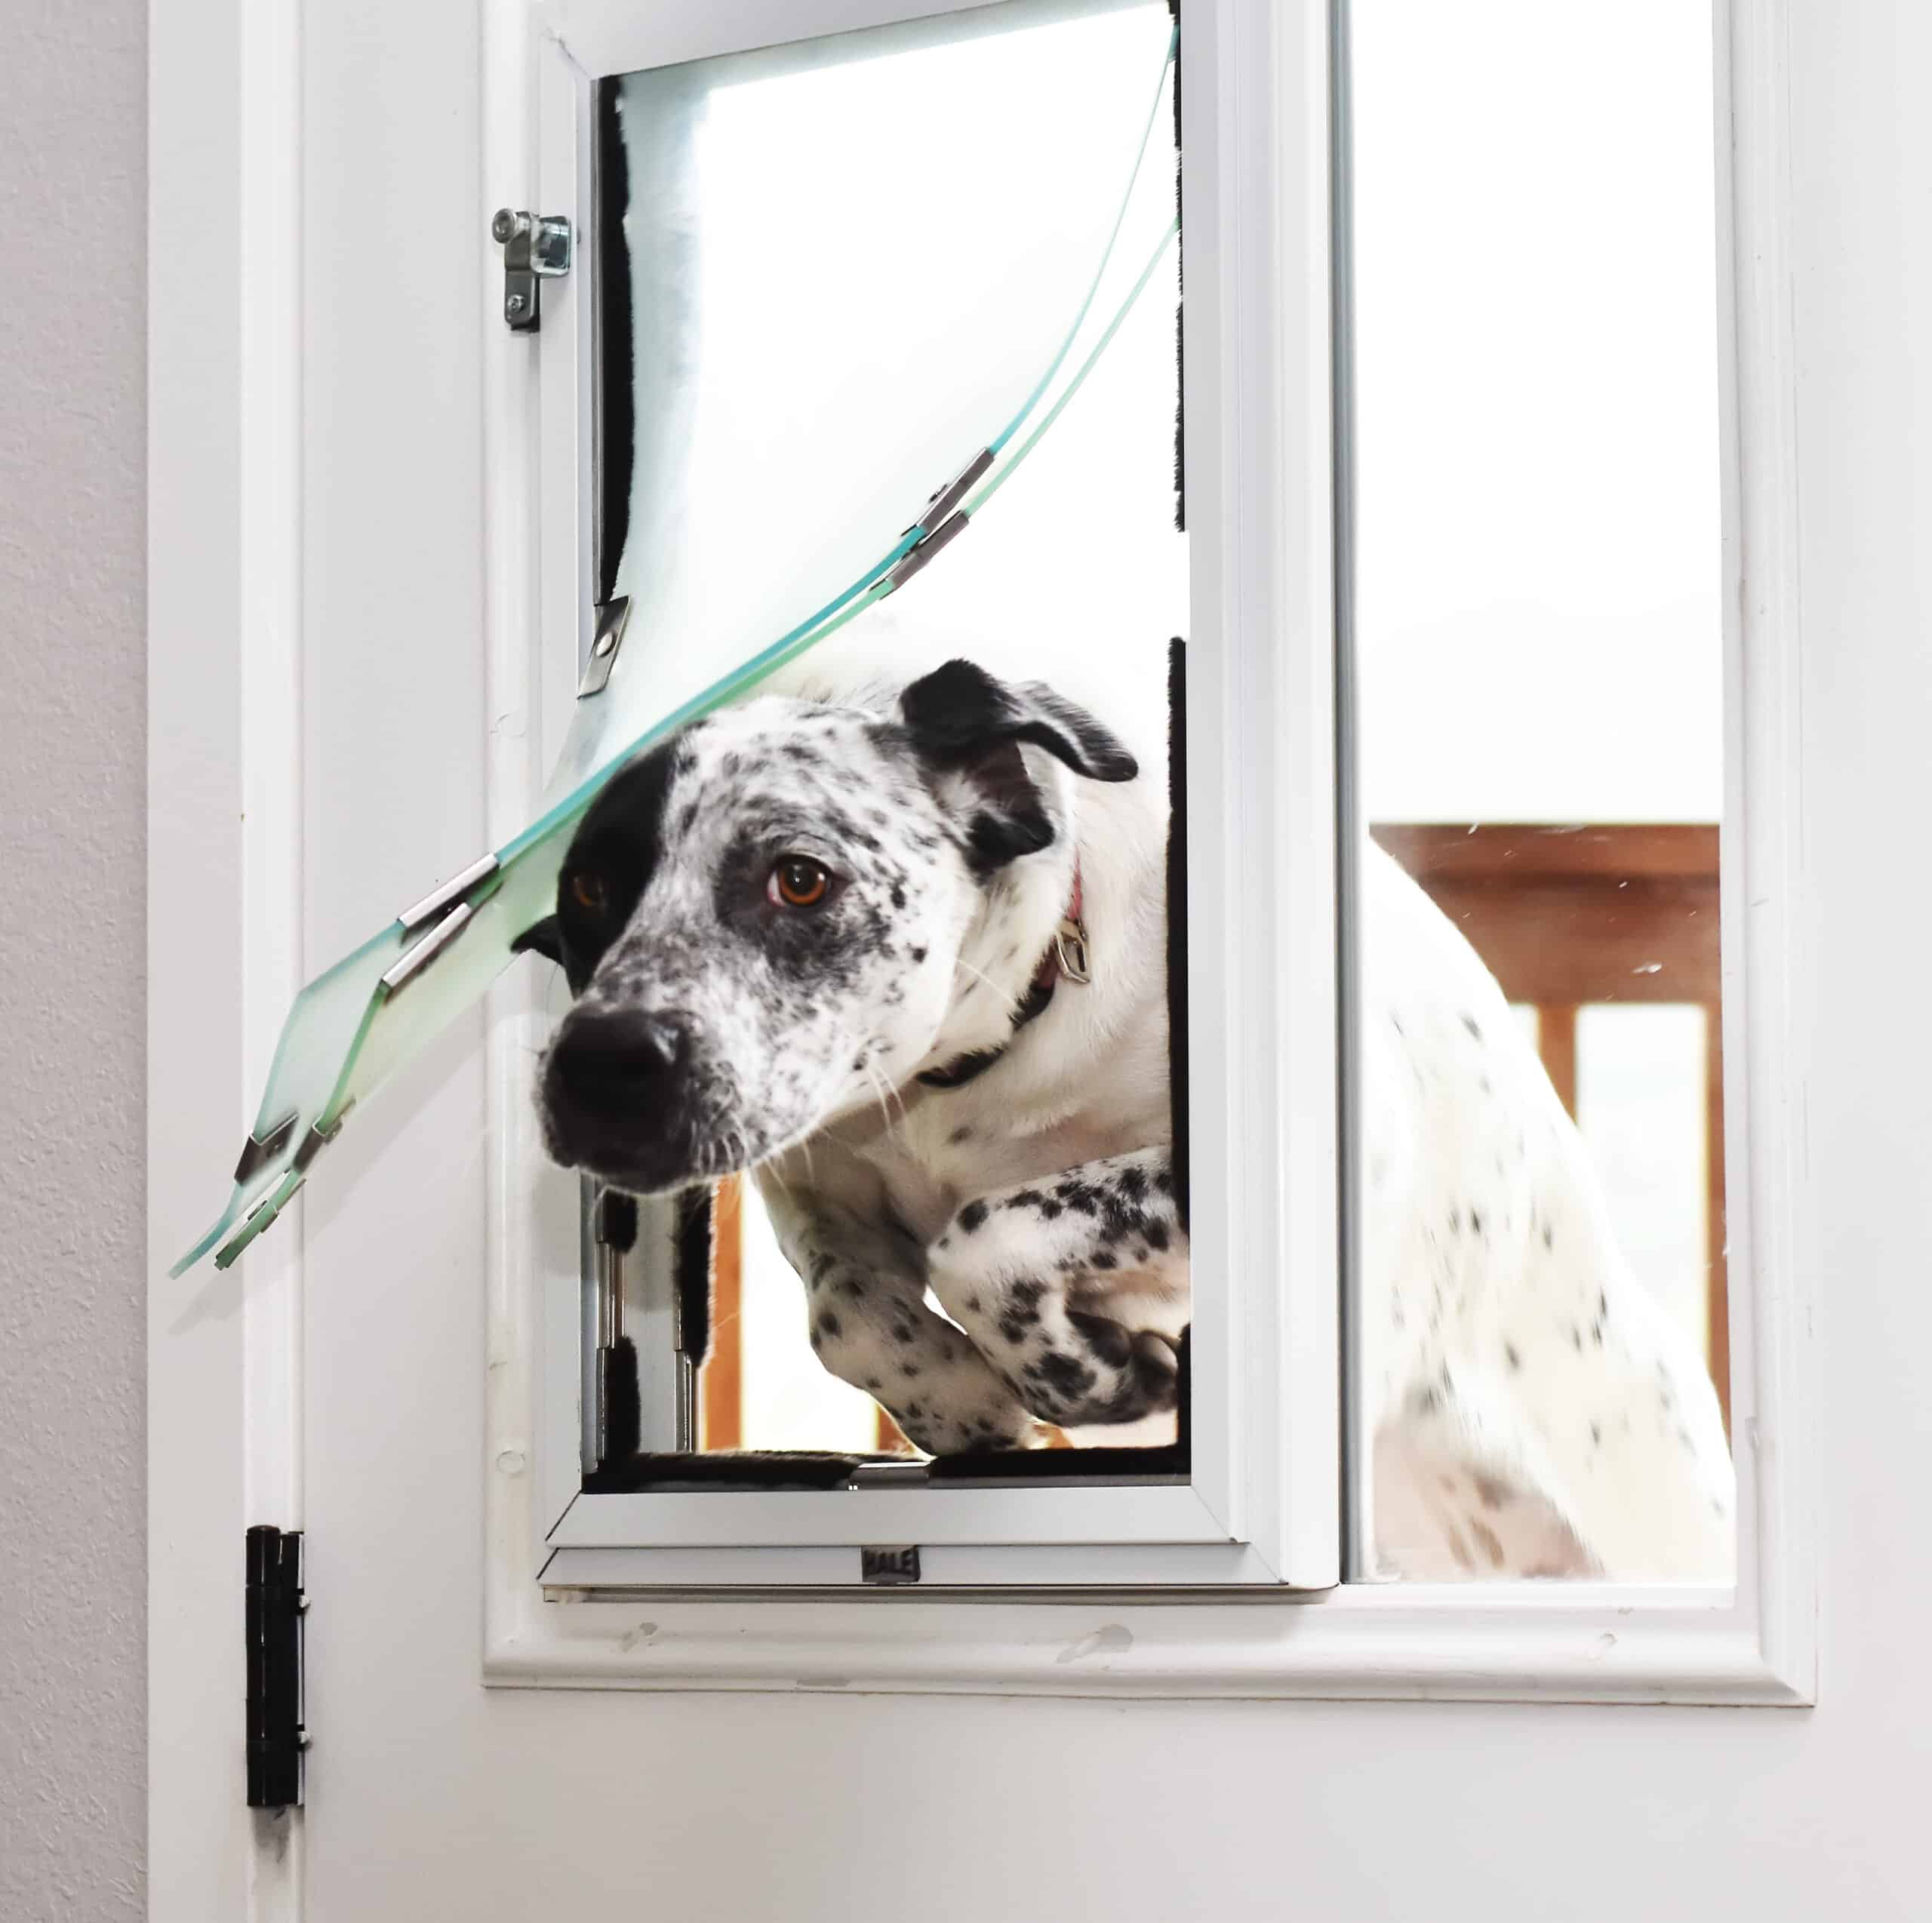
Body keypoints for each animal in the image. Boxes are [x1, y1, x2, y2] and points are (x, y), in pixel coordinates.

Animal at [529, 638, 1739, 1584]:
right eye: (588, 891)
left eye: (800, 877)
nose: (597, 1065)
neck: (966, 1081)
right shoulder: (822, 1198)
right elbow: (848, 1314)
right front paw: (965, 1401)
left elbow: (989, 1234)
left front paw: (1095, 1375)